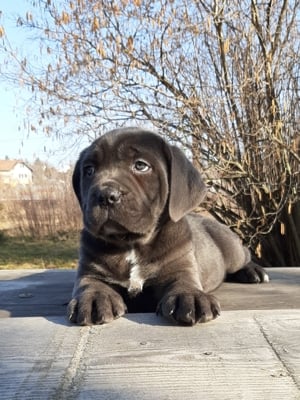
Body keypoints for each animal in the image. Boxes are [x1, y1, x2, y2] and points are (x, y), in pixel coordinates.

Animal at [68, 127, 270, 324]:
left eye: (140, 165)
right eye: (89, 170)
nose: (105, 195)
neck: (131, 243)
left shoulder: (181, 267)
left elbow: (184, 282)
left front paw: (190, 297)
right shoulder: (90, 270)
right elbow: (90, 283)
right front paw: (93, 299)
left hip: (231, 248)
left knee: (244, 254)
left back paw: (254, 271)